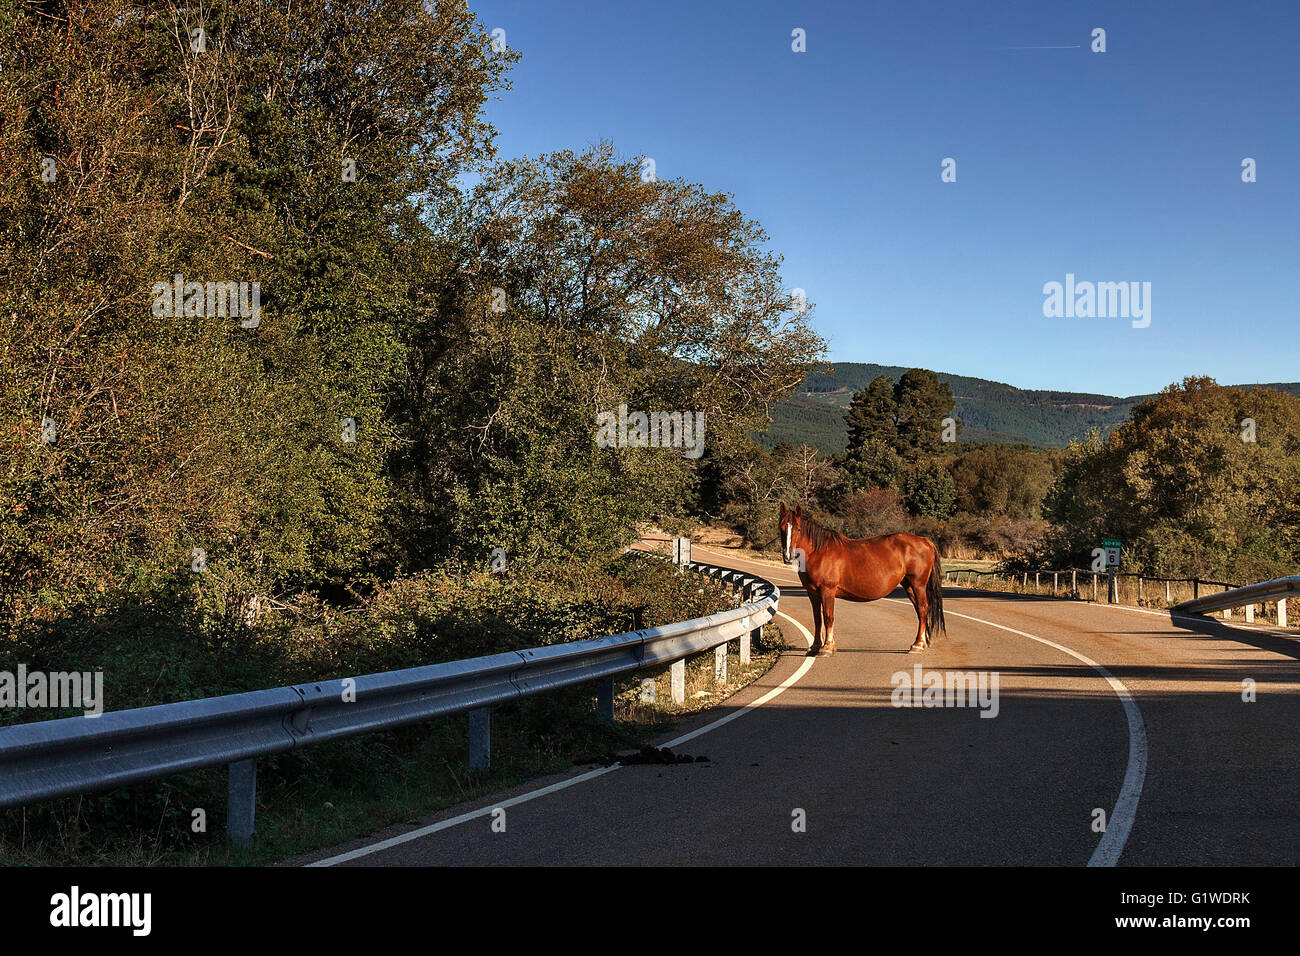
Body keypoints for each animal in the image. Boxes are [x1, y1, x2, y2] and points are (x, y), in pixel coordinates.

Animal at [769, 504, 946, 655]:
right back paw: (921, 642)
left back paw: (917, 645)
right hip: (908, 585)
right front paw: (815, 646)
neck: (819, 552)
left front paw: (827, 647)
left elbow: (828, 617)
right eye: (781, 527)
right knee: (919, 611)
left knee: (923, 609)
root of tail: (925, 541)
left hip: (918, 584)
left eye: (798, 529)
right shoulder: (812, 593)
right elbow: (818, 619)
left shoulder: (827, 591)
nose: (788, 556)